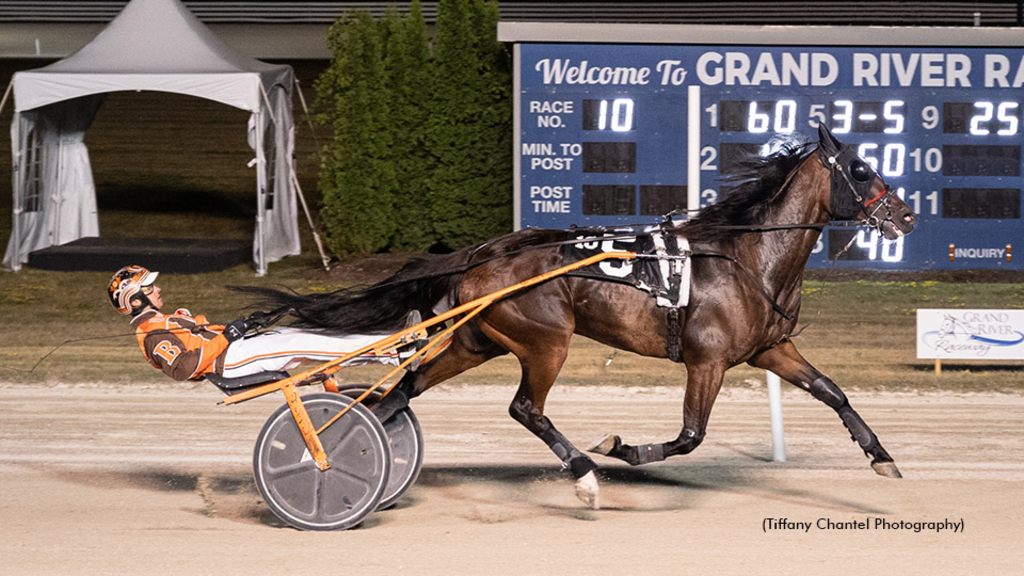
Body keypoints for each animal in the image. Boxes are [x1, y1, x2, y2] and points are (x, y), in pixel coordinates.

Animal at [245, 125, 921, 506]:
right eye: (860, 169)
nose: (908, 214)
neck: (744, 257)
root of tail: (484, 251)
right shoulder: (707, 361)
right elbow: (689, 436)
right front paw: (619, 447)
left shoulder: (769, 349)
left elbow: (833, 392)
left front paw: (881, 457)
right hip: (547, 341)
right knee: (524, 408)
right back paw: (584, 472)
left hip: (478, 340)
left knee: (400, 393)